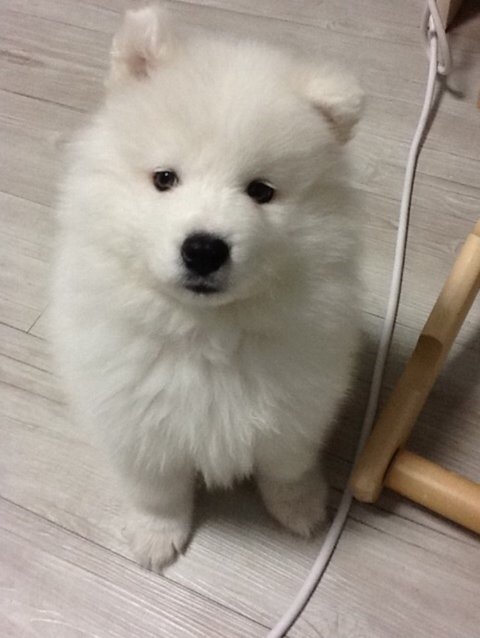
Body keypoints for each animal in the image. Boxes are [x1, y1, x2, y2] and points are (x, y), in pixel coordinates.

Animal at [50, 4, 364, 571]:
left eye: (261, 191)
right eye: (164, 179)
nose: (203, 249)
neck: (208, 334)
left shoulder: (298, 404)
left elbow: (286, 465)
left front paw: (300, 506)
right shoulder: (137, 423)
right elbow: (157, 490)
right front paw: (156, 536)